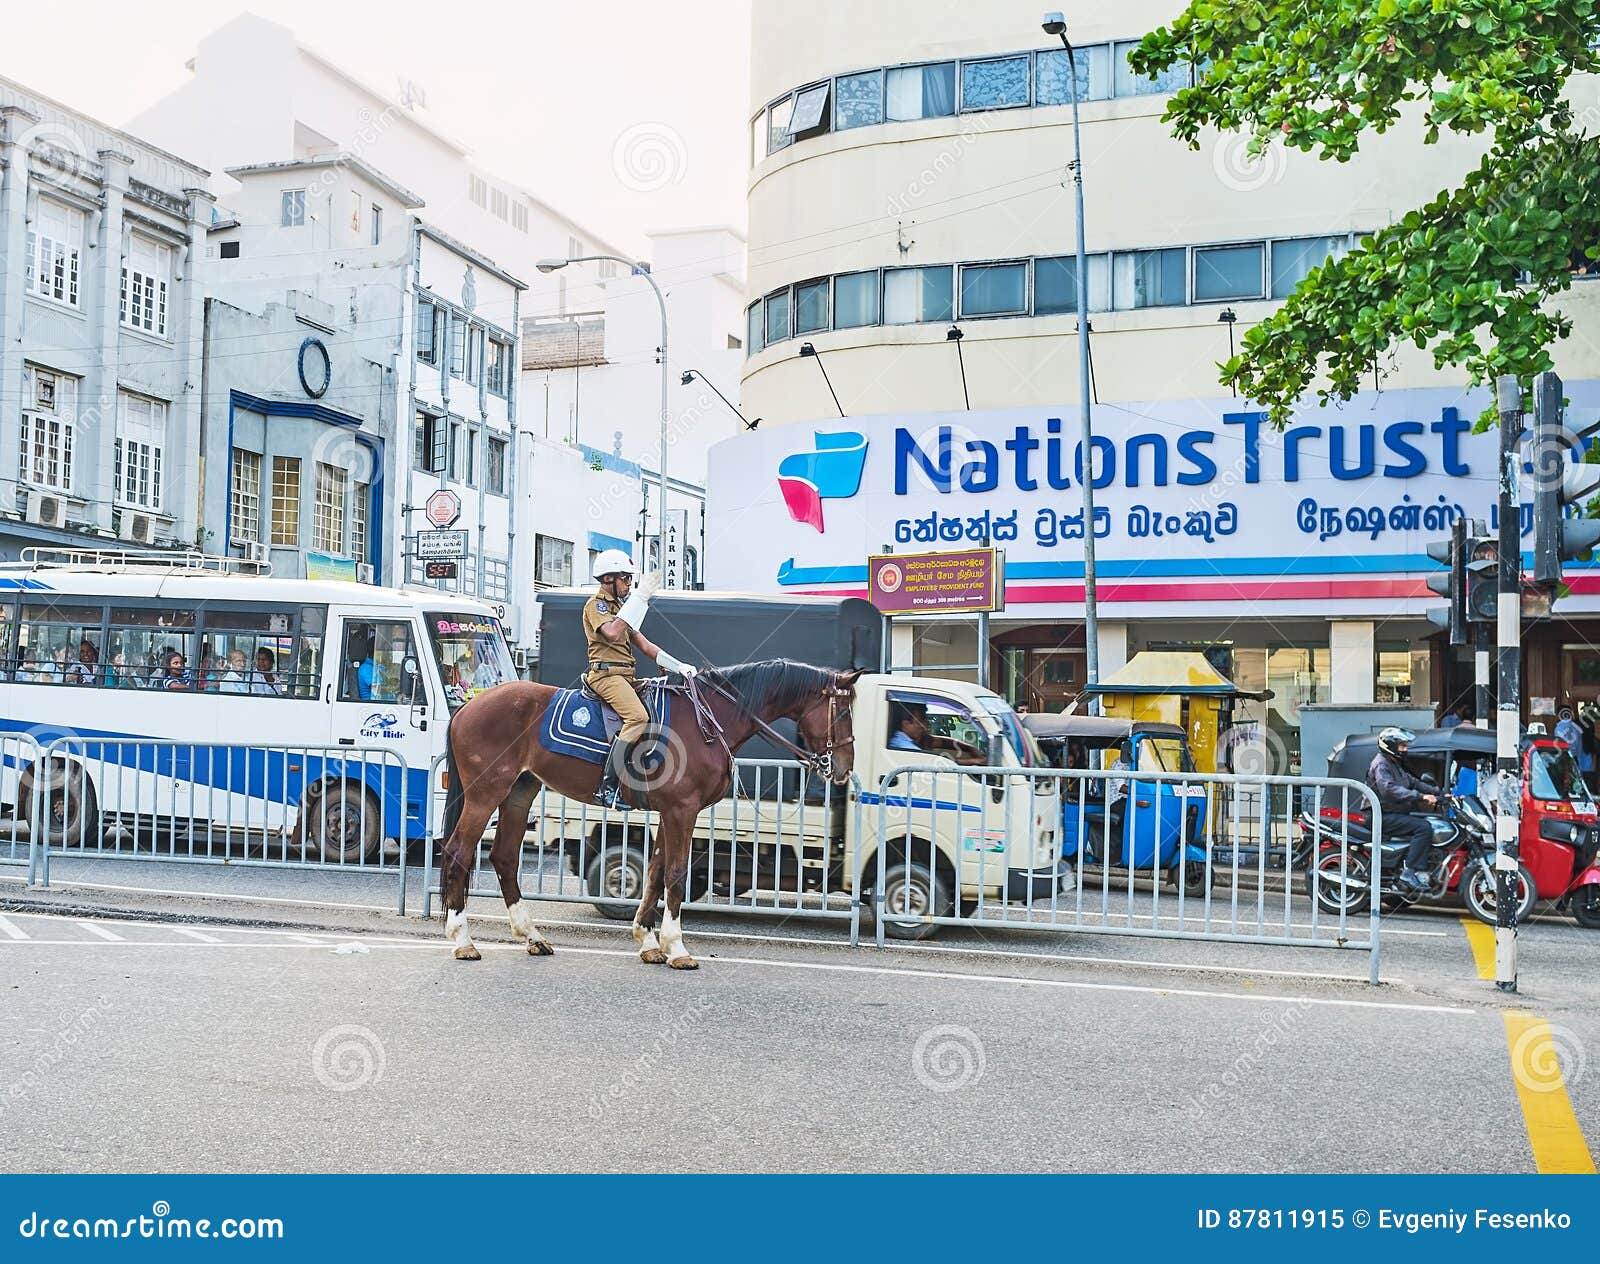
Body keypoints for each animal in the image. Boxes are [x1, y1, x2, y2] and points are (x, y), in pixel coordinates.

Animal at [435, 662, 864, 972]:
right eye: (843, 711)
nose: (844, 768)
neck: (708, 721)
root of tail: (469, 706)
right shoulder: (682, 810)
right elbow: (675, 874)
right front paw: (677, 947)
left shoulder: (667, 813)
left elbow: (656, 874)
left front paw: (648, 940)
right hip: (486, 793)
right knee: (458, 851)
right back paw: (462, 940)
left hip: (519, 792)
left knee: (504, 857)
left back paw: (531, 935)